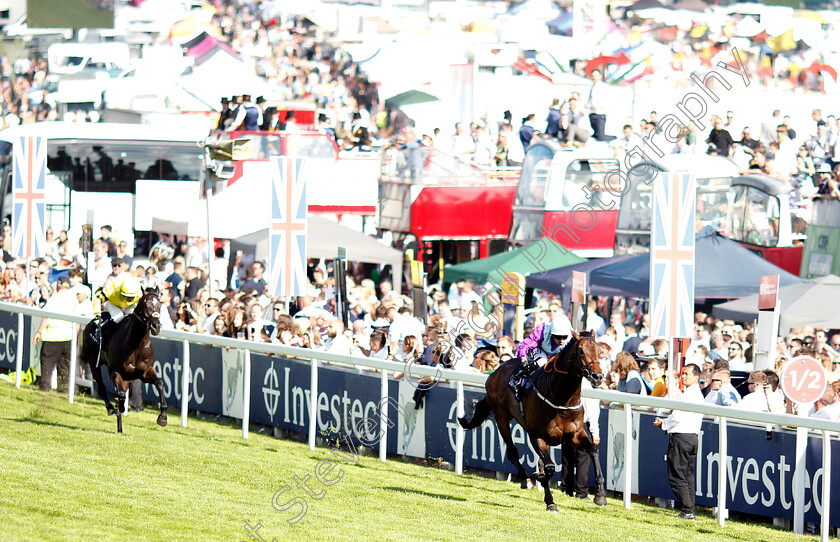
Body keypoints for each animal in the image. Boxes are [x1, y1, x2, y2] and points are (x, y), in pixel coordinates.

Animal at [81, 286, 167, 436]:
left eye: (160, 304)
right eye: (145, 304)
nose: (156, 326)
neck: (135, 344)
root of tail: (91, 323)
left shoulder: (144, 372)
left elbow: (160, 383)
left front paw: (162, 416)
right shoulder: (115, 371)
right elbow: (120, 394)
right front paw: (119, 406)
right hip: (93, 362)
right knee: (102, 388)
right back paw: (112, 409)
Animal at [460, 332, 604, 516]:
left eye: (599, 351)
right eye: (581, 351)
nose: (598, 376)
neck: (561, 399)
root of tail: (497, 370)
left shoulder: (575, 435)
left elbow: (593, 451)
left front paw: (600, 495)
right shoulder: (537, 436)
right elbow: (549, 467)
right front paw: (549, 500)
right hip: (501, 417)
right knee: (512, 452)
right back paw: (526, 479)